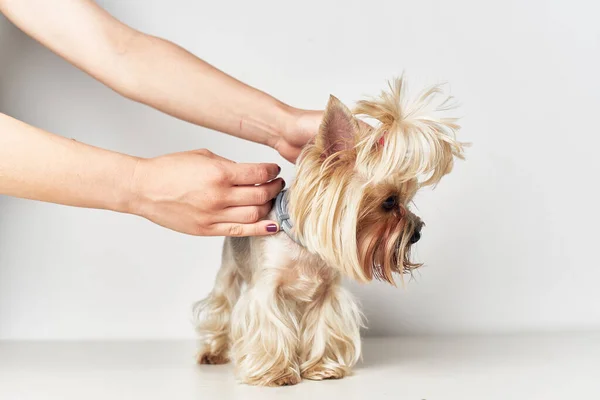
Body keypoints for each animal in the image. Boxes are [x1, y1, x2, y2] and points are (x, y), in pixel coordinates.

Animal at [192, 76, 464, 386]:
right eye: (389, 201)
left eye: (407, 200)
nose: (417, 232)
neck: (302, 246)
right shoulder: (267, 290)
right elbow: (270, 325)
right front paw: (277, 373)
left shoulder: (327, 293)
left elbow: (324, 326)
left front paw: (323, 367)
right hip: (229, 267)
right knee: (221, 302)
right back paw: (213, 352)